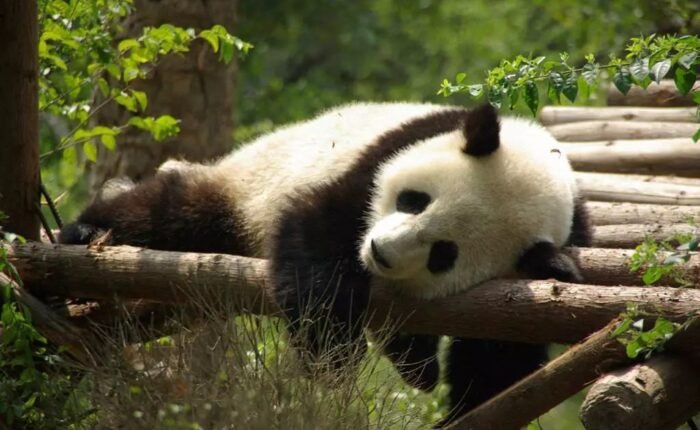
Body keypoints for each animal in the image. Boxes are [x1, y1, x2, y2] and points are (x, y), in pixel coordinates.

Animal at [60, 102, 591, 425]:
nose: (380, 250)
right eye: (415, 200)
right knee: (170, 210)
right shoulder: (378, 160)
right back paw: (85, 234)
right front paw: (331, 358)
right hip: (243, 187)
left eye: (444, 253)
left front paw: (457, 404)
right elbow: (318, 229)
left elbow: (502, 347)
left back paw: (417, 366)